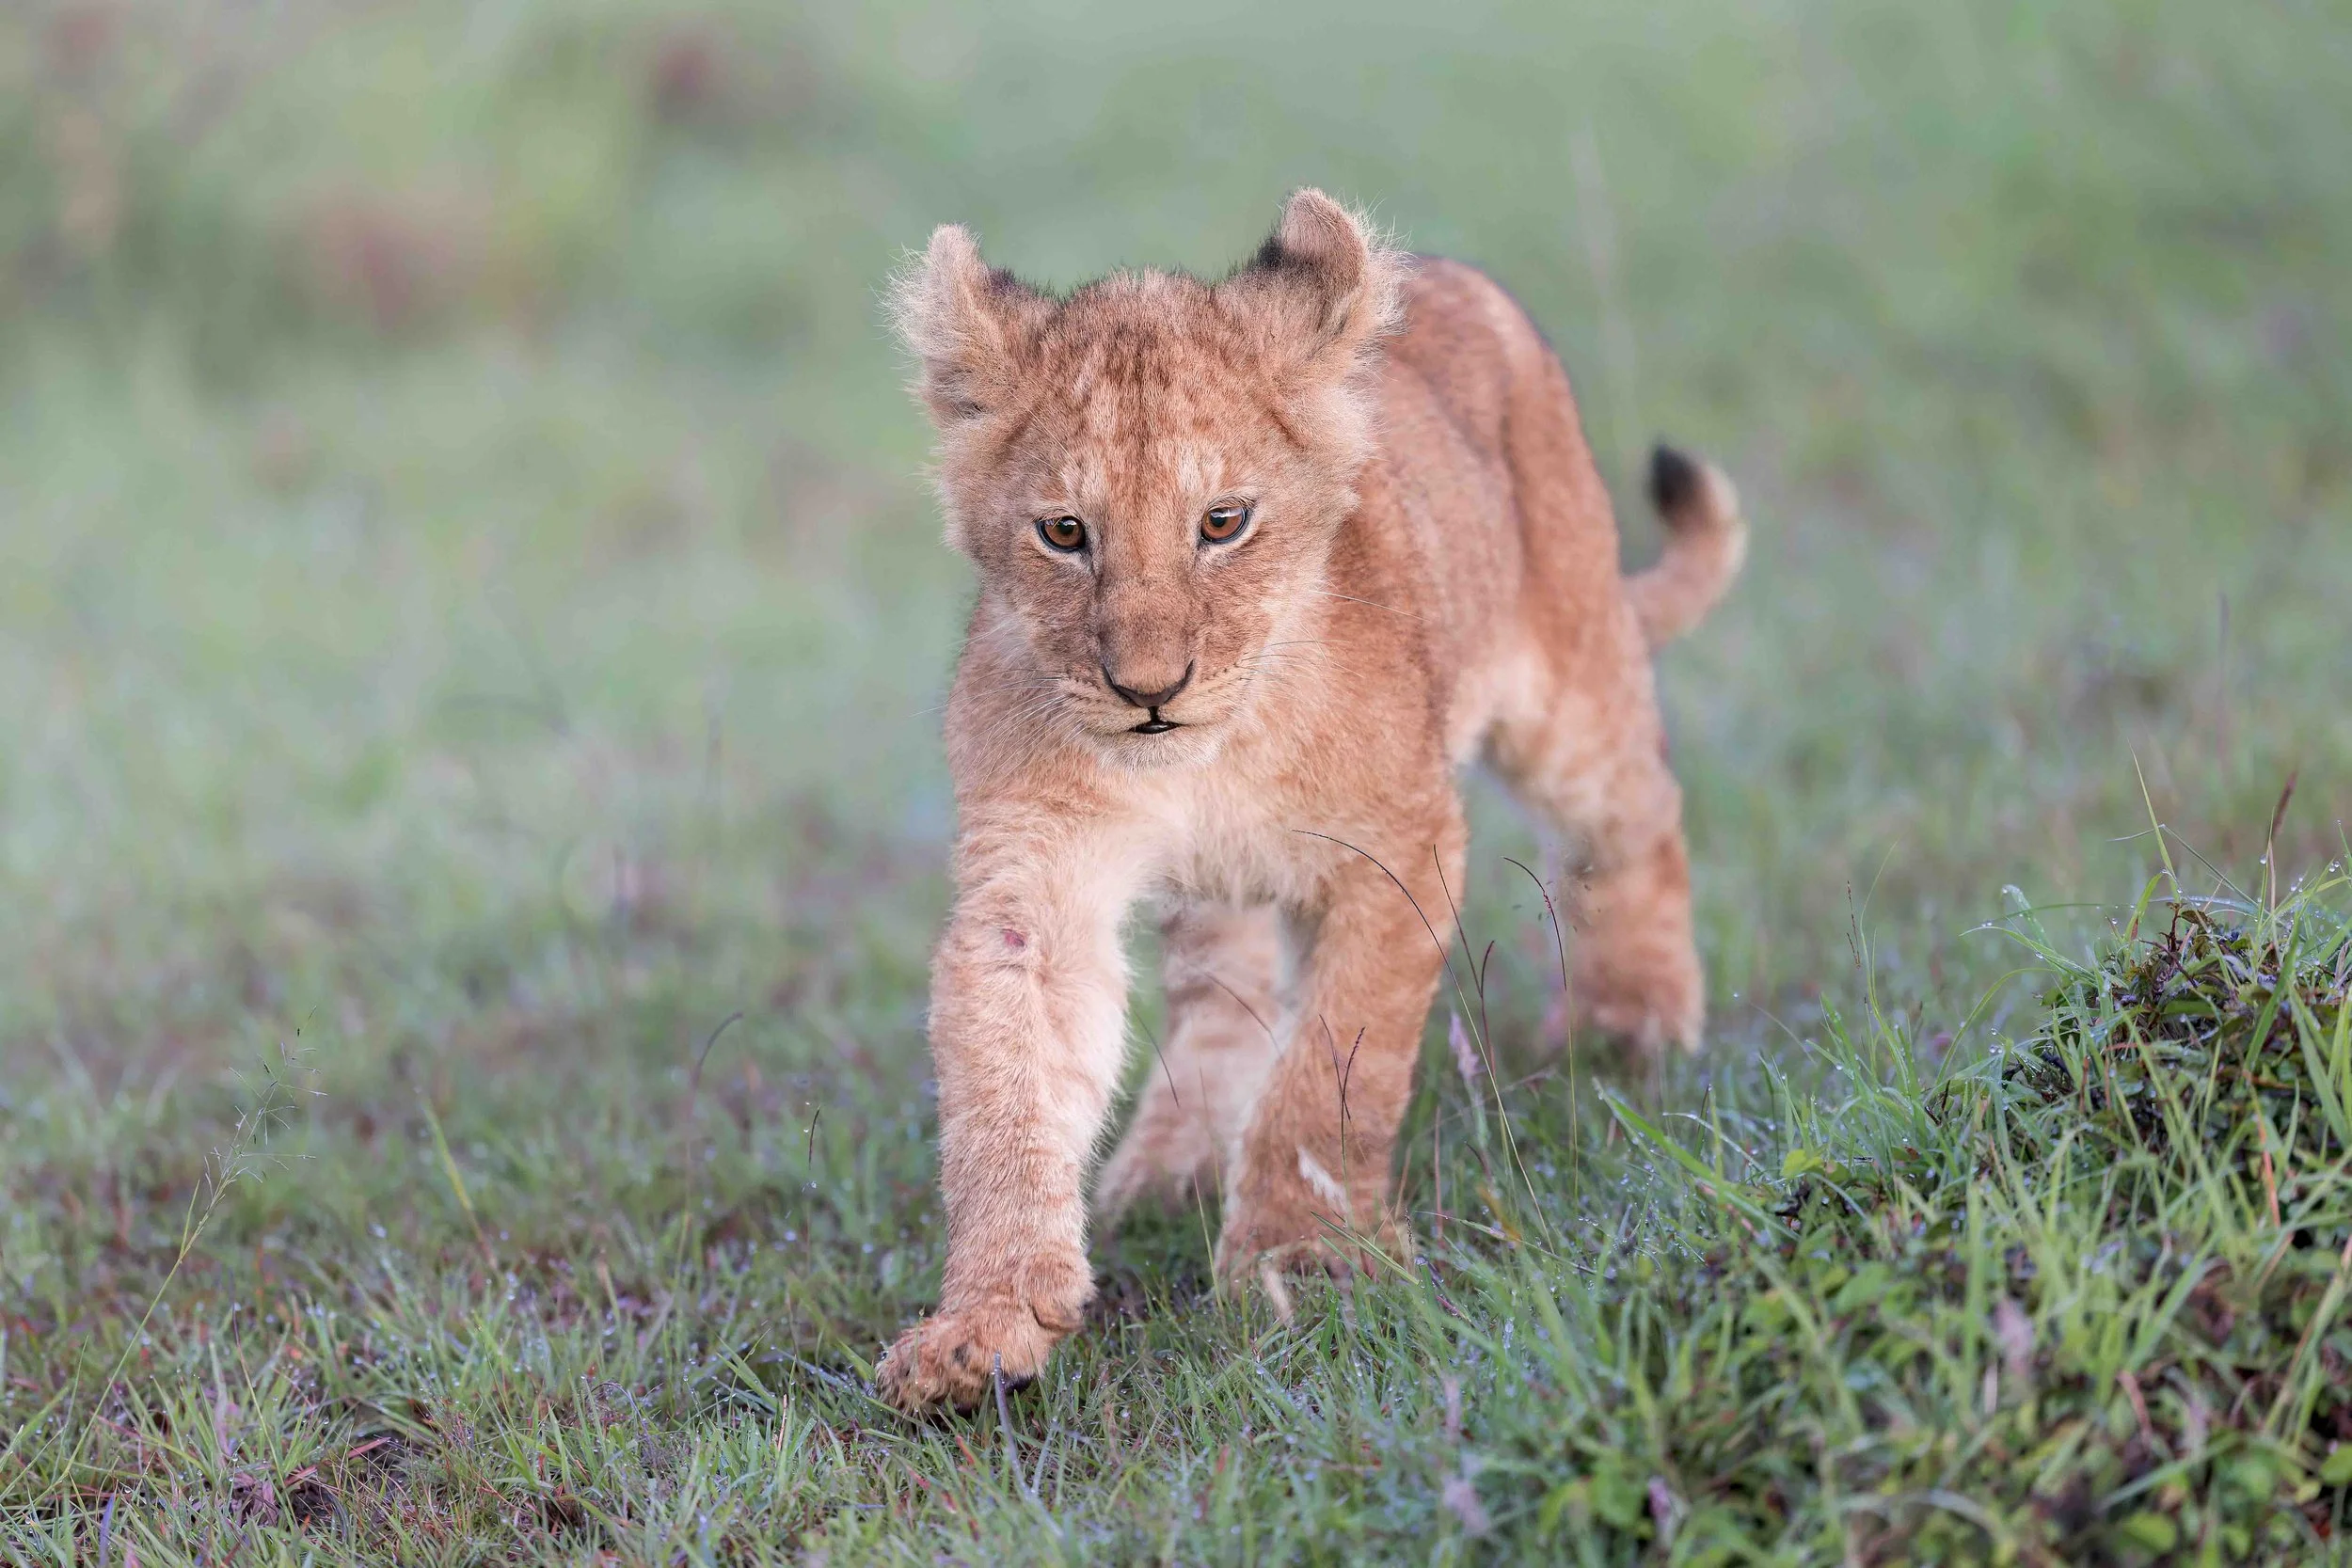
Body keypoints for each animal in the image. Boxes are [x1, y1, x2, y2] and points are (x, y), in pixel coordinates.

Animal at [874, 190, 1745, 1412]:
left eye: (1222, 522)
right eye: (1064, 532)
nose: (1148, 690)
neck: (1205, 763)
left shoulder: (1398, 846)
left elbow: (1332, 1066)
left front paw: (1302, 1257)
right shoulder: (1032, 883)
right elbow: (1007, 1100)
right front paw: (981, 1326)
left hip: (1570, 686)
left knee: (1636, 824)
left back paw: (1632, 1025)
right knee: (1221, 988)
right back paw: (1174, 1166)